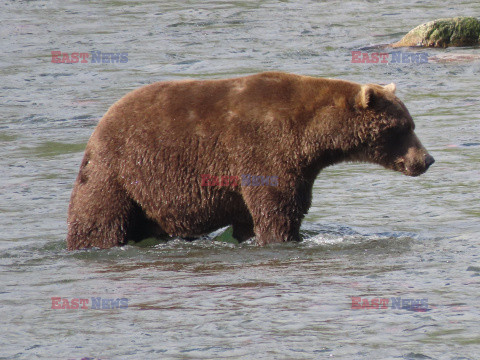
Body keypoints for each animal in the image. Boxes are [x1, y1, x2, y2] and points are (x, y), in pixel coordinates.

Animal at [67, 71, 436, 249]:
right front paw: (284, 238)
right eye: (403, 127)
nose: (427, 159)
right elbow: (278, 206)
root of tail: (99, 125)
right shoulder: (266, 150)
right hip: (119, 171)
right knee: (99, 217)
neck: (313, 137)